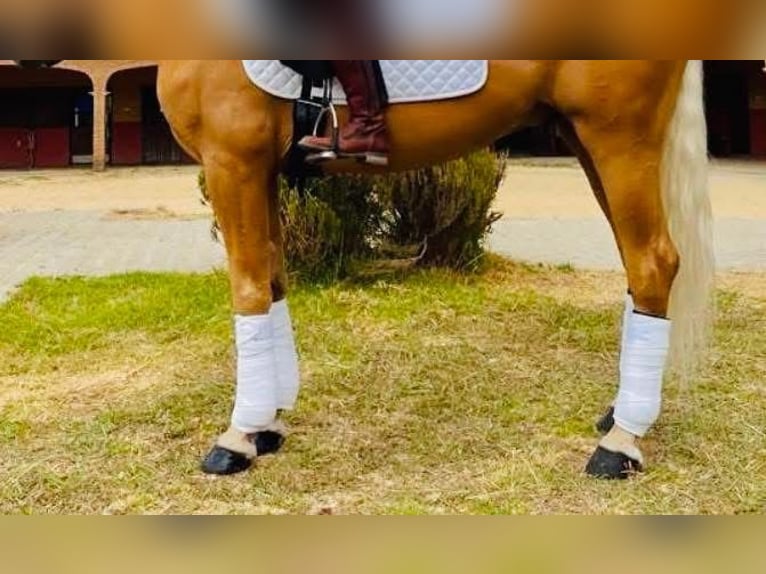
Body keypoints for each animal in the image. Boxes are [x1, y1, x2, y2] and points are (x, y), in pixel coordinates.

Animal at [155, 59, 714, 482]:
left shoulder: (234, 164)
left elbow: (248, 288)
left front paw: (239, 436)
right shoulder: (258, 171)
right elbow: (271, 282)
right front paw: (266, 425)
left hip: (619, 141)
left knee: (651, 263)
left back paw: (621, 444)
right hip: (588, 139)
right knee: (635, 265)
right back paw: (619, 415)